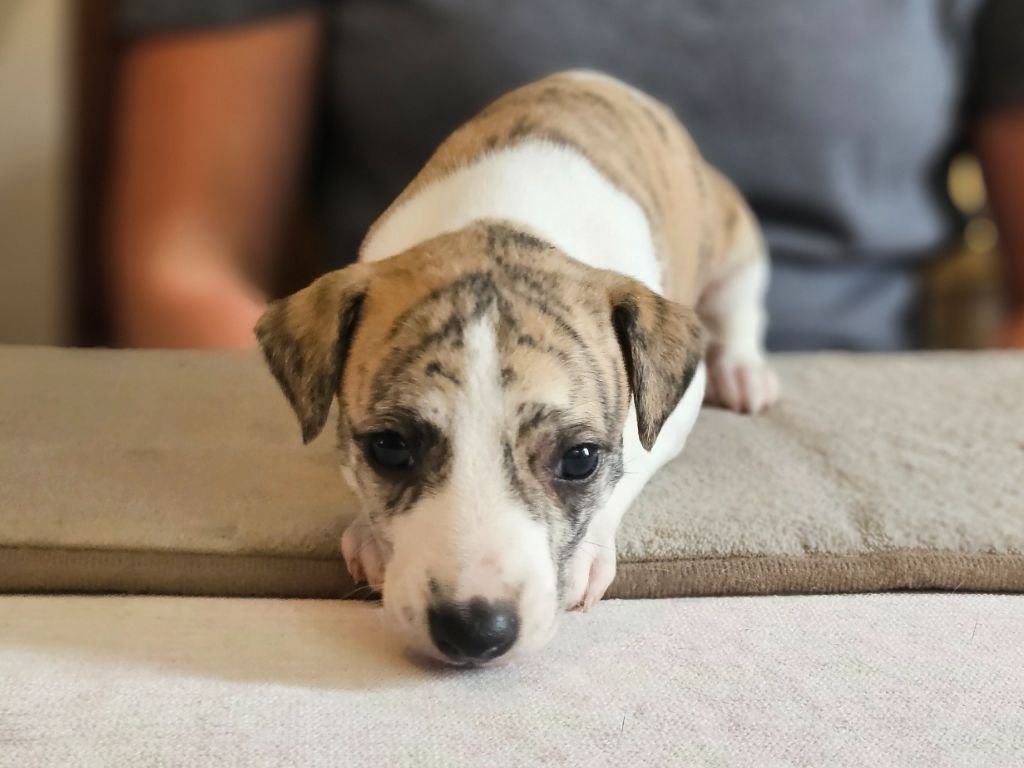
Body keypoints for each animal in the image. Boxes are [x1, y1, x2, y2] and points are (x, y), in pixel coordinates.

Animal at [256, 71, 779, 665]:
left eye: (580, 459)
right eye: (388, 448)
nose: (474, 631)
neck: (500, 218)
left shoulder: (675, 407)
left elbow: (635, 462)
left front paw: (586, 557)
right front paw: (369, 533)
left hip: (734, 236)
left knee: (739, 305)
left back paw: (744, 371)